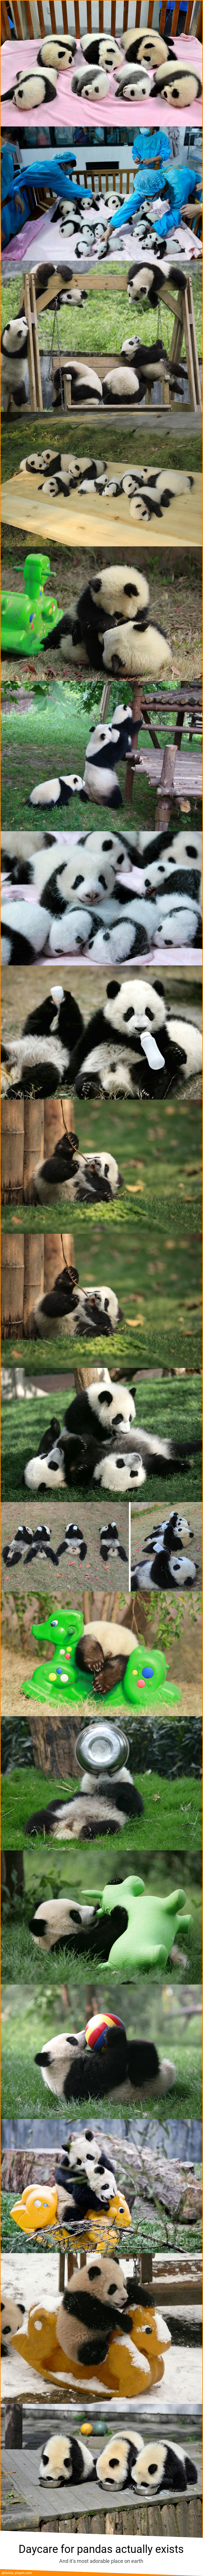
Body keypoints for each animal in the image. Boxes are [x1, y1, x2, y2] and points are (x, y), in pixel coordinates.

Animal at [39, 2421, 94, 2483]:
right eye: (50, 2477)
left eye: (61, 2478)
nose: (56, 2482)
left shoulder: (73, 2451)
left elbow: (78, 2467)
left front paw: (69, 2483)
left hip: (89, 2467)